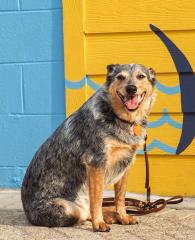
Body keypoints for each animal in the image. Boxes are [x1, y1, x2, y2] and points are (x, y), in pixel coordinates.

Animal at [21, 62, 156, 232]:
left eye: (141, 76)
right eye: (120, 77)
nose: (131, 88)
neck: (119, 117)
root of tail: (27, 214)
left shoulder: (125, 164)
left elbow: (120, 197)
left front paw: (123, 216)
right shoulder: (96, 163)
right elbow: (97, 199)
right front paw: (99, 223)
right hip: (68, 209)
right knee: (84, 213)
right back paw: (105, 217)